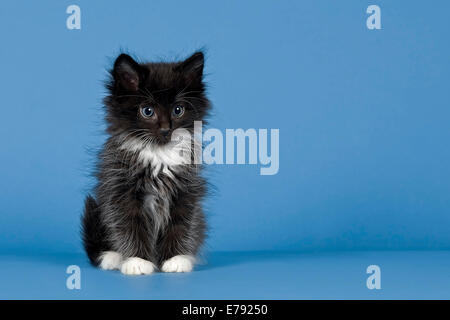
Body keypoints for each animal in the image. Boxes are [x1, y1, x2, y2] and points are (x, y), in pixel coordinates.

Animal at [81, 50, 211, 276]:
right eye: (147, 111)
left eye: (178, 110)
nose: (166, 129)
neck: (159, 156)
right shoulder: (120, 191)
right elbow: (130, 226)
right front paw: (137, 261)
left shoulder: (187, 192)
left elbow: (182, 225)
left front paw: (176, 259)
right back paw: (113, 257)